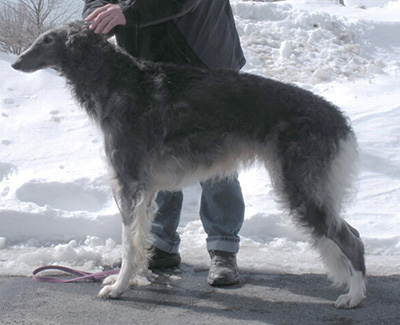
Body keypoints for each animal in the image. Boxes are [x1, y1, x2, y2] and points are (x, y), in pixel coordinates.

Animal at [11, 22, 366, 306]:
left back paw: (354, 295)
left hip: (300, 188)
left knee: (352, 239)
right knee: (350, 233)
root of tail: (339, 121)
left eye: (47, 39)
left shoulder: (128, 182)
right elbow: (140, 239)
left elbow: (128, 243)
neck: (118, 82)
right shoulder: (146, 189)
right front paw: (133, 278)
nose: (15, 62)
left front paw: (119, 287)